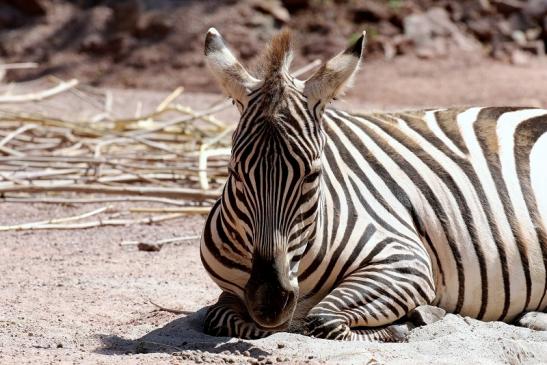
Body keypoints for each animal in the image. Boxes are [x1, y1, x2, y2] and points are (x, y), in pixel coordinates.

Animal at [200, 28, 547, 342]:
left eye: (312, 175)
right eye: (235, 172)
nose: (269, 303)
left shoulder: (405, 261)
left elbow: (323, 320)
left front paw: (411, 321)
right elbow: (220, 317)